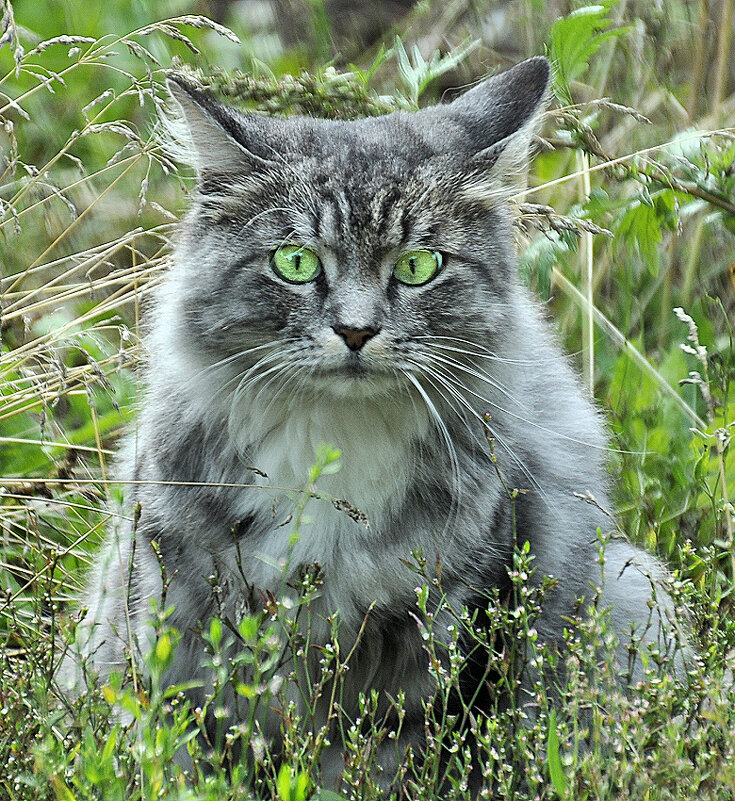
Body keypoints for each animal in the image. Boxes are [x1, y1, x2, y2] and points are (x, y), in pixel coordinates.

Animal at [66, 56, 688, 788]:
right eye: (296, 262)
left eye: (419, 267)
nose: (356, 331)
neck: (331, 446)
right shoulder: (181, 616)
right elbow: (184, 751)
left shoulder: (441, 637)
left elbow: (384, 762)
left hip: (626, 583)